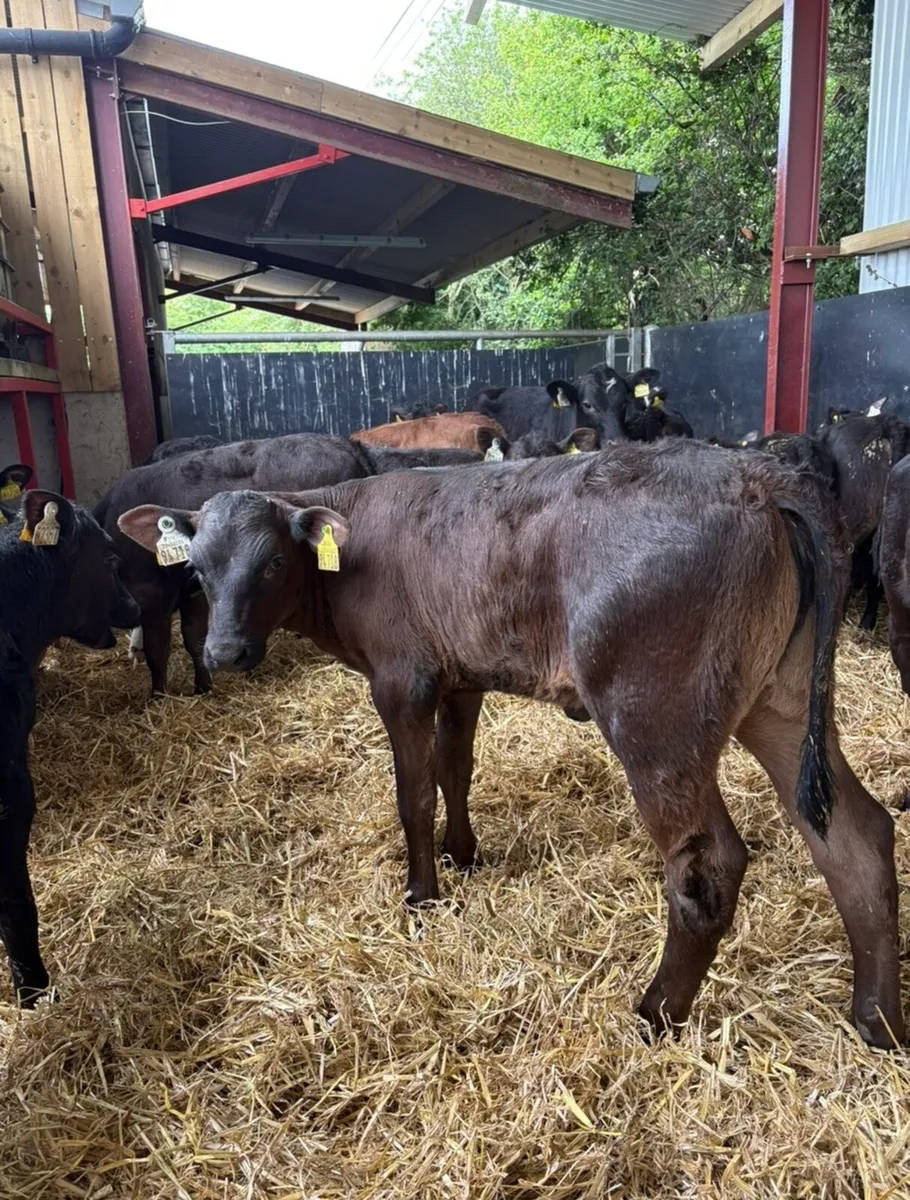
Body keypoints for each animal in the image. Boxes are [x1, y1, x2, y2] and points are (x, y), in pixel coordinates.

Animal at [95, 433, 483, 696]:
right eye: (197, 564)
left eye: (273, 563)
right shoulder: (185, 594)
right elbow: (187, 641)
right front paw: (195, 690)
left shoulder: (158, 597)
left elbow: (165, 647)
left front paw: (166, 696)